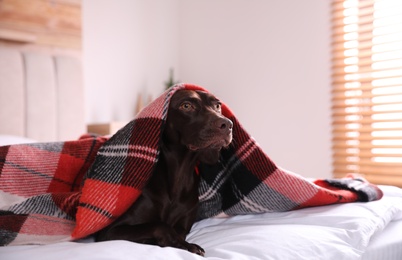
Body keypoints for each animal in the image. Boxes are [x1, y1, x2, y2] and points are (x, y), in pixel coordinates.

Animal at [96, 90, 232, 256]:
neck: (179, 172)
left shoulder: (183, 225)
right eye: (186, 105)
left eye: (217, 105)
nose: (227, 125)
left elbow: (175, 231)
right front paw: (187, 246)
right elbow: (160, 226)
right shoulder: (109, 231)